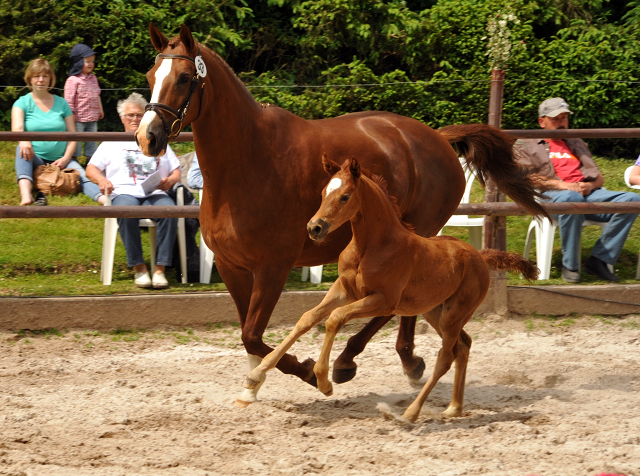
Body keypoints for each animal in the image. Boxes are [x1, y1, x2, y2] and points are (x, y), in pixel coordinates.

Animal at [242, 156, 536, 420]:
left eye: (345, 197)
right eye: (324, 192)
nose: (315, 227)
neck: (371, 246)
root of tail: (480, 256)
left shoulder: (382, 301)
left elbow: (334, 319)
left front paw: (324, 381)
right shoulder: (344, 291)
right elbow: (307, 318)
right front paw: (255, 376)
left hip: (454, 315)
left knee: (446, 356)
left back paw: (411, 413)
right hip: (435, 311)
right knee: (463, 346)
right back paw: (454, 408)